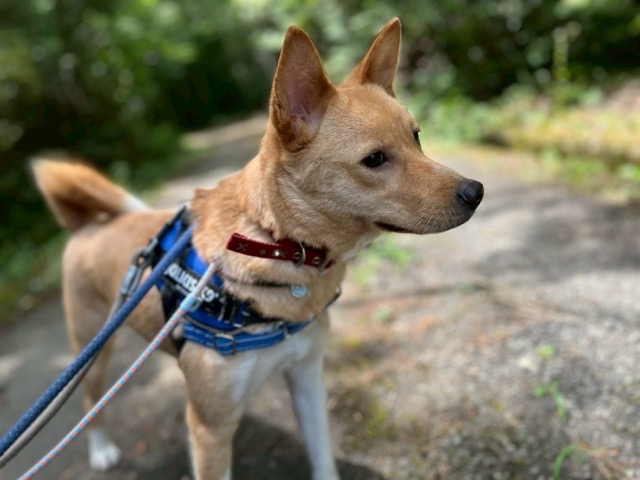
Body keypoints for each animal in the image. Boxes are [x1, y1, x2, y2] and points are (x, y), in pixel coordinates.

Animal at [32, 18, 483, 480]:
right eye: (374, 159)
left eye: (417, 137)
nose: (475, 192)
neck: (274, 244)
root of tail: (89, 224)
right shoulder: (209, 429)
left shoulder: (307, 380)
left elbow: (322, 457)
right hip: (91, 349)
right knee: (90, 402)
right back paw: (102, 449)